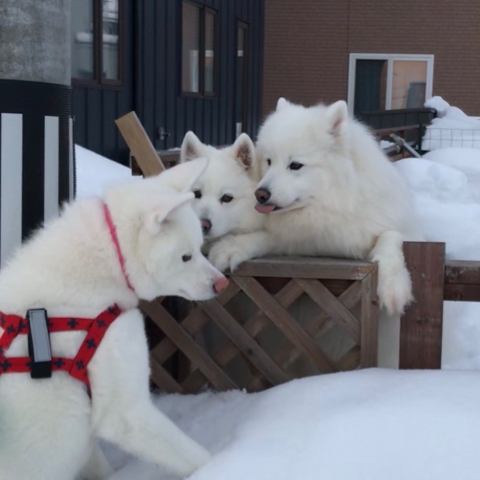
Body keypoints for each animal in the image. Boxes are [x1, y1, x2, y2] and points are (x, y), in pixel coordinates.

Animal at [210, 98, 420, 316]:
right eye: (268, 161)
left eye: (295, 165)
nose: (260, 194)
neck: (330, 207)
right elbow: (267, 238)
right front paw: (232, 247)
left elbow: (391, 239)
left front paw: (394, 286)